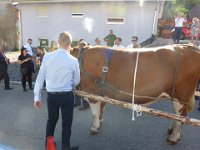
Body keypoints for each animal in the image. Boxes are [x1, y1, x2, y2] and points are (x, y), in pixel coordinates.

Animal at [70, 44, 200, 144]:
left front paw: (94, 127)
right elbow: (101, 110)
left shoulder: (92, 93)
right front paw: (100, 123)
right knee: (176, 115)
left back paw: (173, 137)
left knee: (181, 116)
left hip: (181, 95)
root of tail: (188, 46)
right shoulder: (101, 94)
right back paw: (171, 131)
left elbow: (95, 113)